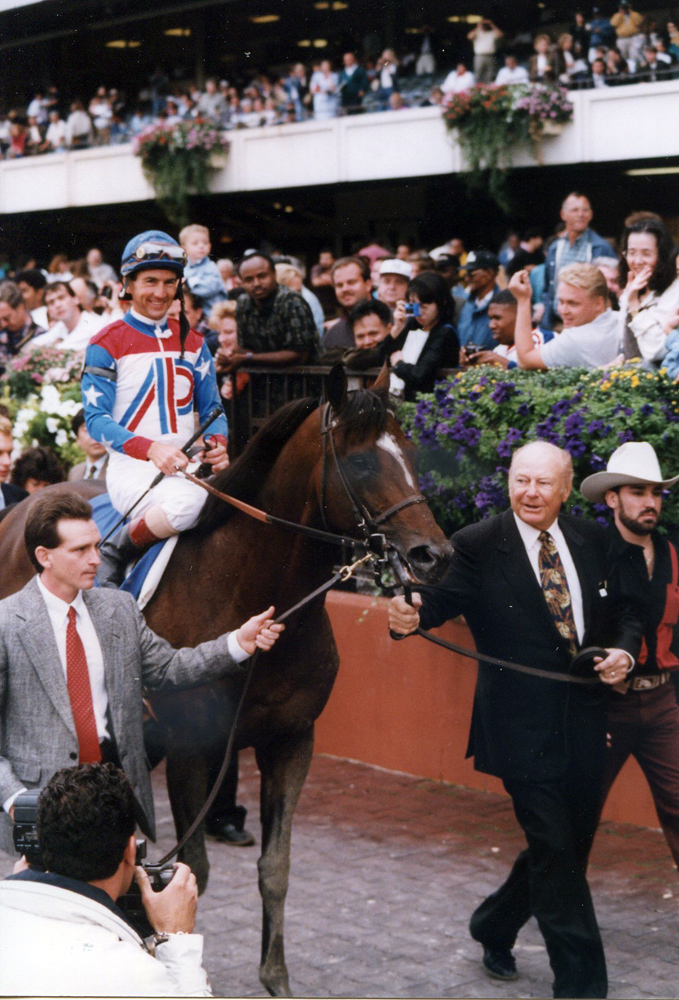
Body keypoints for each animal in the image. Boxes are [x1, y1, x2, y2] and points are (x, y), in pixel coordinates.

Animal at [0, 366, 452, 992]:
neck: (251, 585)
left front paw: (276, 977)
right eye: (361, 462)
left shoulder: (291, 740)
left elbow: (275, 866)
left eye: (408, 452)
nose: (435, 555)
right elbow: (195, 870)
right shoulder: (193, 751)